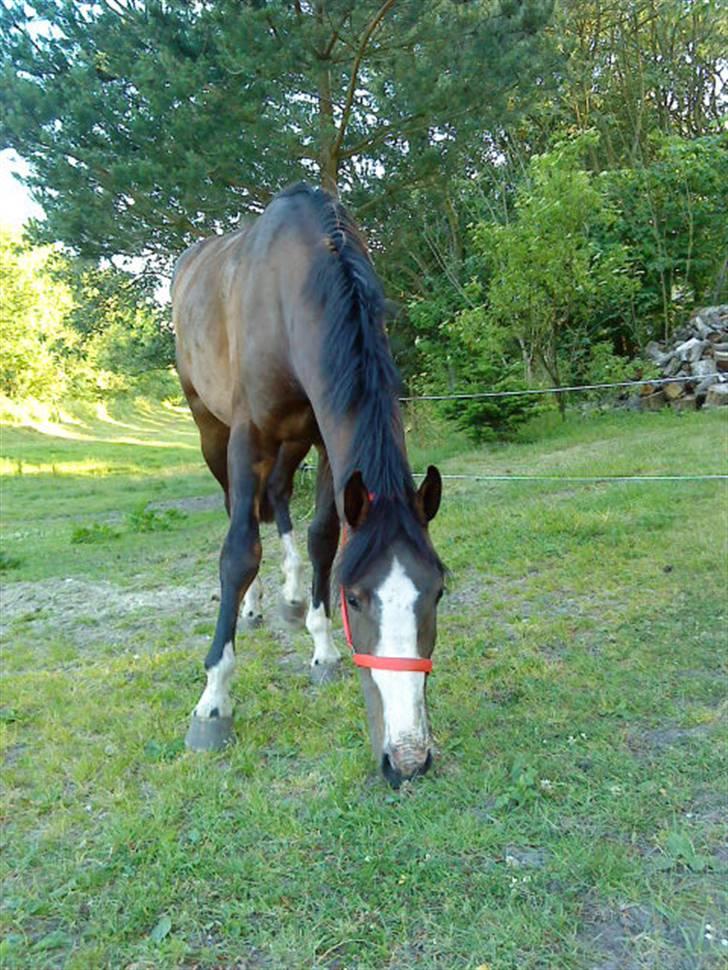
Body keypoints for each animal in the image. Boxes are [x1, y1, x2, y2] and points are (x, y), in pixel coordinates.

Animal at [172, 183, 444, 788]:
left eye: (437, 591)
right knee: (238, 507)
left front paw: (322, 646)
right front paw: (213, 701)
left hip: (290, 443)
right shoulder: (248, 434)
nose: (408, 759)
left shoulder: (322, 436)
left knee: (275, 498)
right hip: (209, 425)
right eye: (356, 597)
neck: (292, 289)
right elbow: (238, 551)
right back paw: (251, 606)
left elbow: (323, 535)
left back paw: (293, 597)